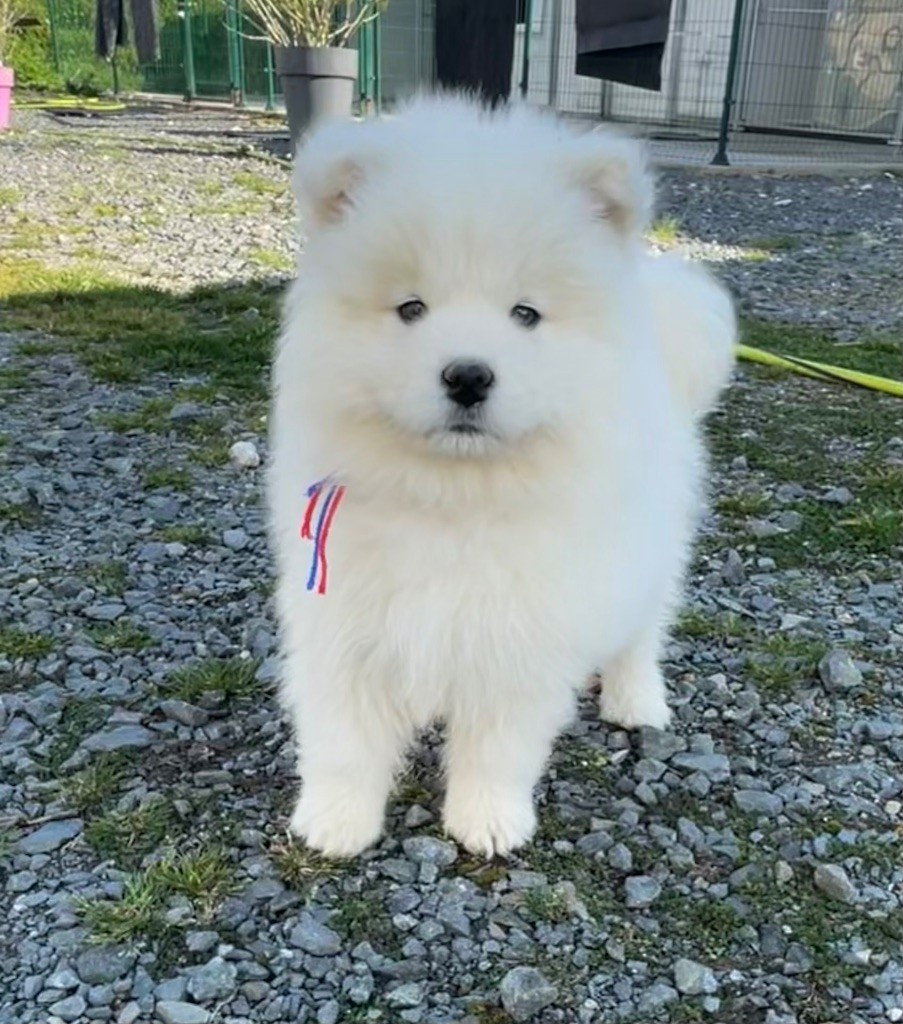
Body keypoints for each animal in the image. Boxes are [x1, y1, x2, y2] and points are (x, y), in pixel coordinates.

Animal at [266, 96, 733, 860]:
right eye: (411, 308)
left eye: (525, 314)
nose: (467, 374)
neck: (452, 495)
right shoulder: (344, 623)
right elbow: (344, 738)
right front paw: (335, 823)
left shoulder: (521, 635)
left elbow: (497, 747)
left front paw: (486, 822)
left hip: (651, 556)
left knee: (641, 634)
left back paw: (636, 702)